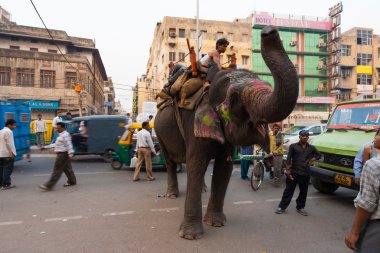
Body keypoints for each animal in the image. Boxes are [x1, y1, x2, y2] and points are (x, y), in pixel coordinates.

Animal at [154, 25, 296, 239]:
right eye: (236, 100)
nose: (268, 31)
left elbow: (224, 168)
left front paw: (217, 224)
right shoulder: (194, 124)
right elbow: (196, 164)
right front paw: (190, 236)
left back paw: (203, 190)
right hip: (159, 132)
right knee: (170, 162)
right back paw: (172, 194)